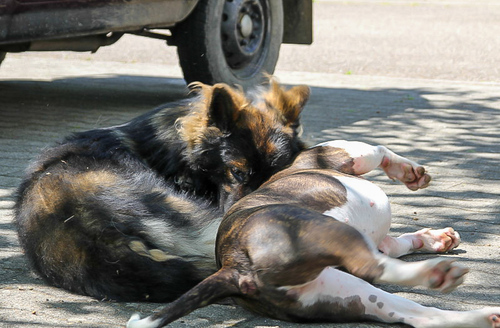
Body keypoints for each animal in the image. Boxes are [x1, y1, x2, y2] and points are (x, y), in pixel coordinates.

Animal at [128, 140, 500, 328]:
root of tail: (234, 267)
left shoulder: (382, 242)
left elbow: (400, 242)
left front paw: (436, 238)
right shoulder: (342, 153)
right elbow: (377, 150)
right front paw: (408, 171)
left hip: (345, 292)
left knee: (421, 316)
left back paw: (483, 314)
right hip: (326, 230)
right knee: (372, 265)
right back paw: (437, 273)